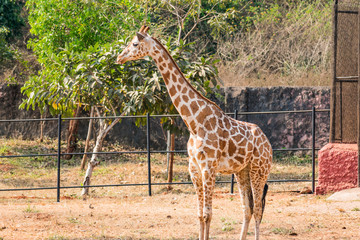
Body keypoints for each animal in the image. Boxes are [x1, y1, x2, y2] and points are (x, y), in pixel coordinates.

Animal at [116, 25, 272, 240]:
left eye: (134, 43)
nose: (119, 57)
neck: (194, 122)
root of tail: (268, 144)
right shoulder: (194, 168)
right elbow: (199, 214)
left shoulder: (209, 167)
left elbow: (208, 214)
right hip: (242, 171)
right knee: (247, 208)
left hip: (259, 170)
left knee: (257, 209)